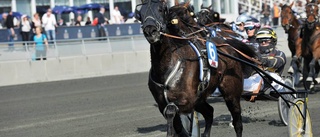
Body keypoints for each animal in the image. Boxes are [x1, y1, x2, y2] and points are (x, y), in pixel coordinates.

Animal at [135, 0, 258, 136]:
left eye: (161, 9)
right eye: (140, 13)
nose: (150, 31)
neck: (167, 65)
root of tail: (228, 45)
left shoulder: (187, 101)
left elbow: (172, 111)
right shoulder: (163, 103)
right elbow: (177, 124)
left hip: (231, 92)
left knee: (237, 121)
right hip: (200, 99)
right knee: (209, 111)